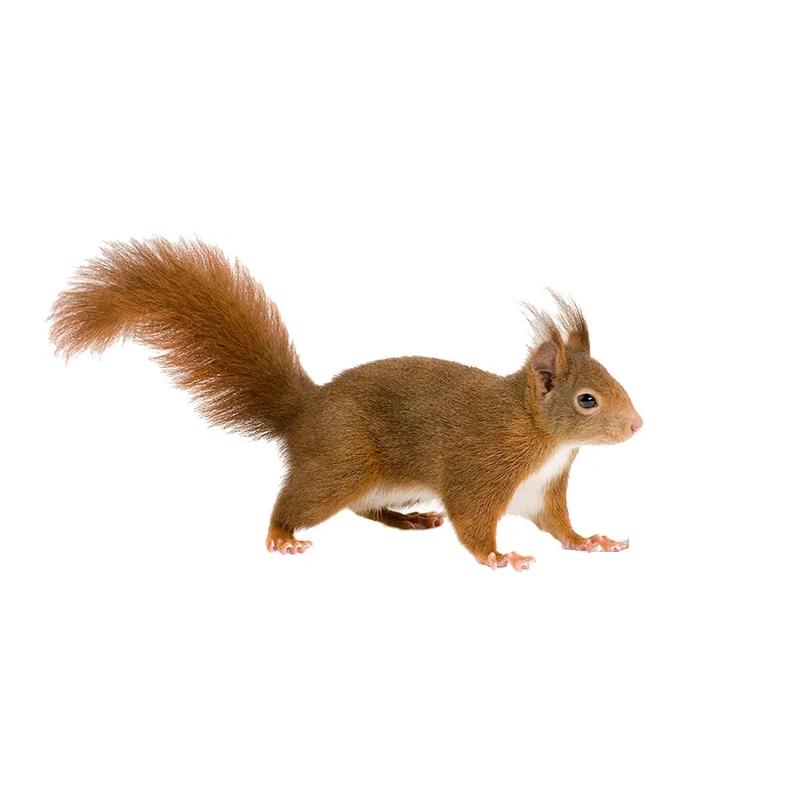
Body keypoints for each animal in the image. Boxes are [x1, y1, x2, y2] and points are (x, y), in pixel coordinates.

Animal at [50, 238, 643, 571]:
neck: (542, 438)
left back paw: (409, 521)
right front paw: (499, 556)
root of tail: (305, 411)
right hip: (341, 464)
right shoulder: (480, 468)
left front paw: (590, 541)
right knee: (296, 504)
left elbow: (558, 525)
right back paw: (282, 537)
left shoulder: (542, 490)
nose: (638, 425)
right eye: (587, 400)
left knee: (366, 508)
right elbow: (473, 522)